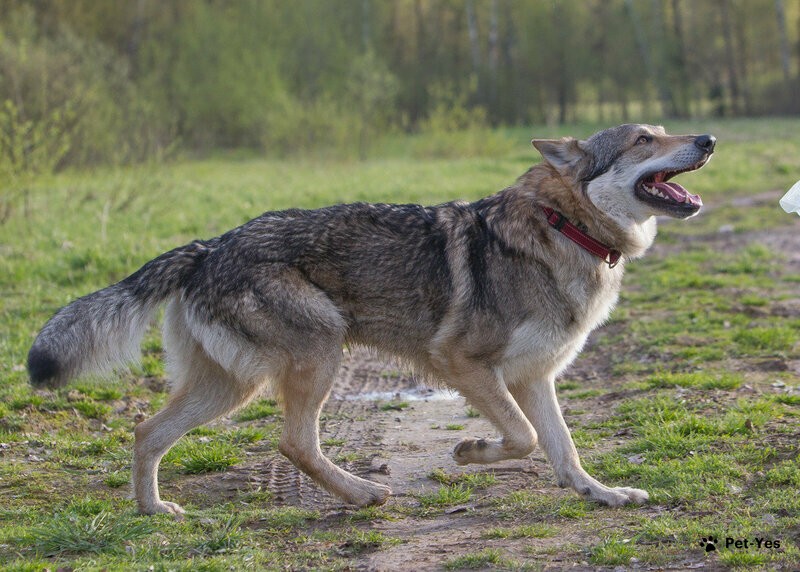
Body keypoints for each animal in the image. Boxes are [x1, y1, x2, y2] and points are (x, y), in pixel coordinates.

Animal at [26, 124, 712, 512]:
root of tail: (207, 246)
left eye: (663, 129)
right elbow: (524, 438)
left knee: (146, 431)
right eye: (643, 140)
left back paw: (155, 513)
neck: (565, 229)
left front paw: (603, 496)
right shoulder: (463, 365)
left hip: (230, 385)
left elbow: (563, 451)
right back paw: (361, 494)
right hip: (316, 354)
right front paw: (470, 451)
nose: (708, 140)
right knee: (293, 443)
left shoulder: (533, 377)